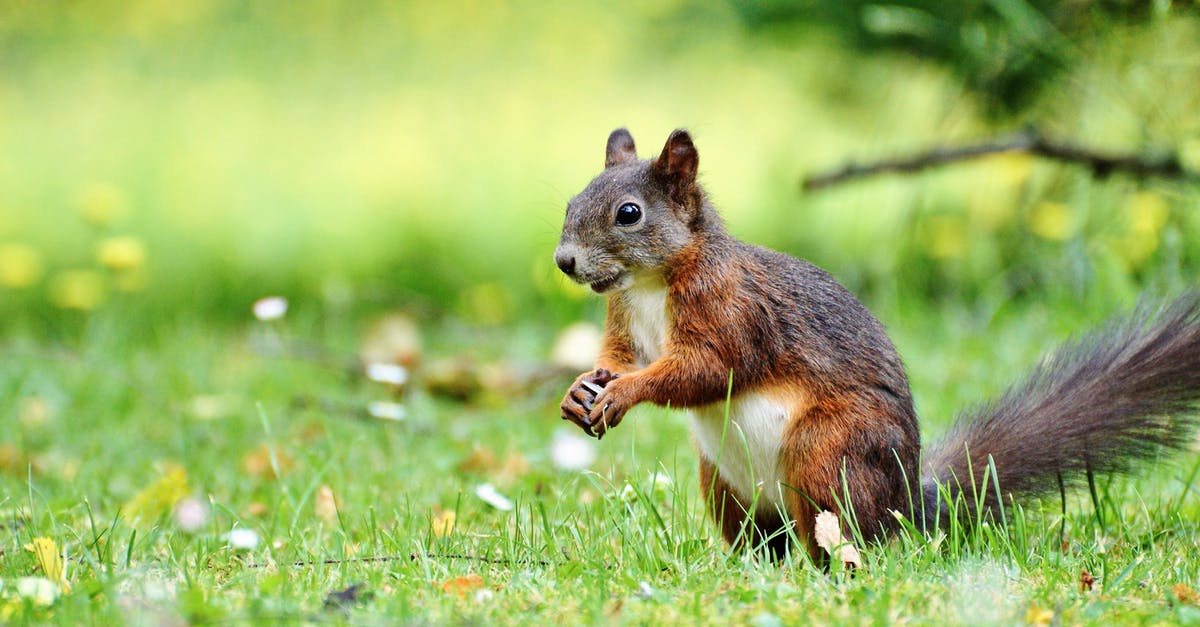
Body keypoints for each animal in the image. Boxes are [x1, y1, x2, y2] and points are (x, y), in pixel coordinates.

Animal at [549, 126, 1200, 557]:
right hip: (725, 485)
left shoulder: (733, 312)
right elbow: (618, 357)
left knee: (841, 534)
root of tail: (907, 507)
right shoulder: (624, 319)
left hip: (827, 452)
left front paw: (624, 393)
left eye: (629, 213)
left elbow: (705, 369)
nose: (564, 262)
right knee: (765, 539)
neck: (651, 284)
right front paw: (582, 389)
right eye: (572, 202)